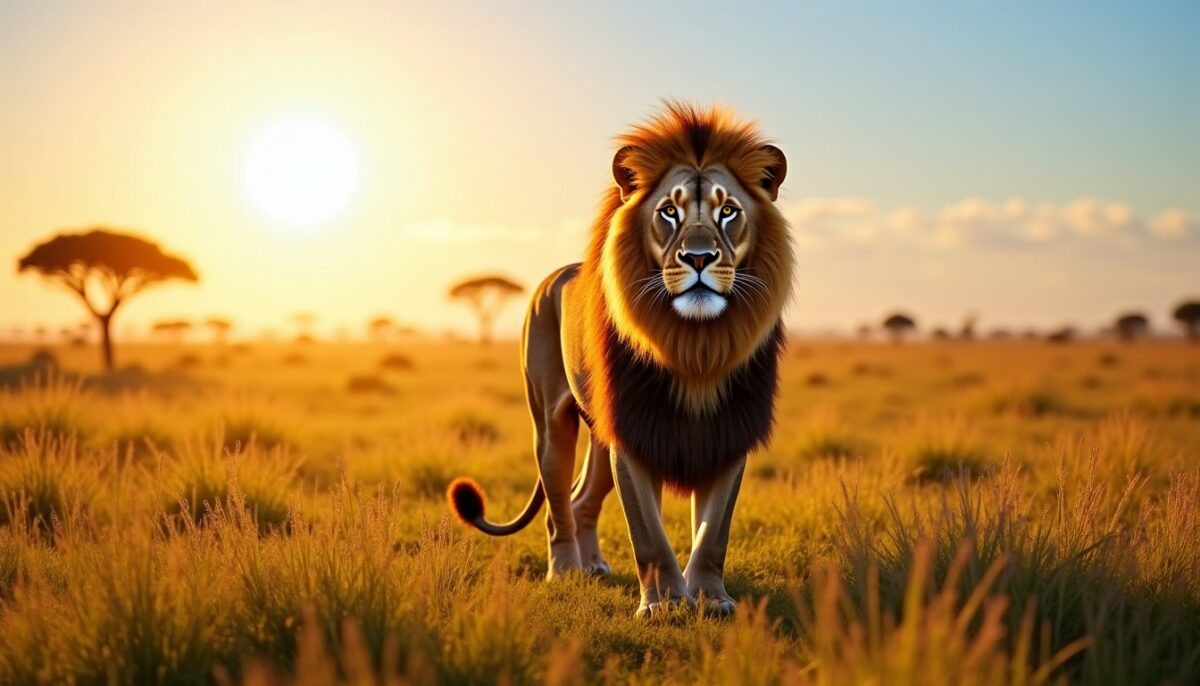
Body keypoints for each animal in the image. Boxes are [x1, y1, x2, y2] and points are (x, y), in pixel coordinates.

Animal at [448, 102, 792, 618]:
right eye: (669, 211)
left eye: (728, 211)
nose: (698, 258)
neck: (696, 346)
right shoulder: (633, 437)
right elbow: (648, 534)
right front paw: (665, 605)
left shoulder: (729, 433)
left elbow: (713, 532)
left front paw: (711, 599)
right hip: (552, 425)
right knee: (558, 507)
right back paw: (565, 571)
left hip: (599, 435)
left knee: (581, 499)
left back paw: (593, 566)